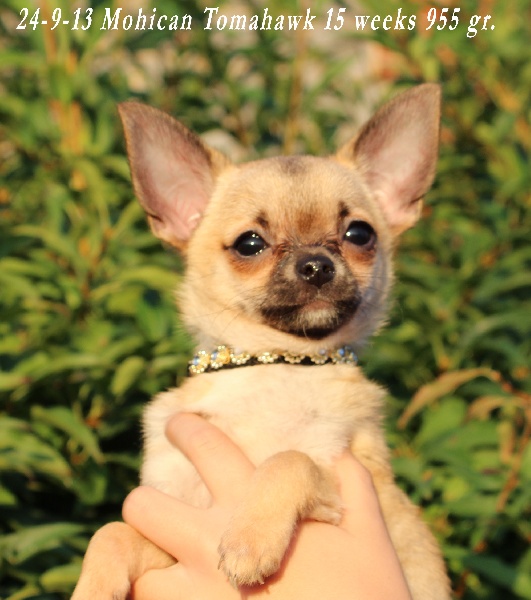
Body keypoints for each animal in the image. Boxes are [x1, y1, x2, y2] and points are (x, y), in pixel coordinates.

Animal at [72, 83, 451, 599]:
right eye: (249, 244)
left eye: (359, 234)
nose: (316, 264)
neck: (277, 361)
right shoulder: (171, 511)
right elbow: (111, 532)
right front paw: (91, 586)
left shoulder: (343, 476)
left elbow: (289, 459)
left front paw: (249, 541)